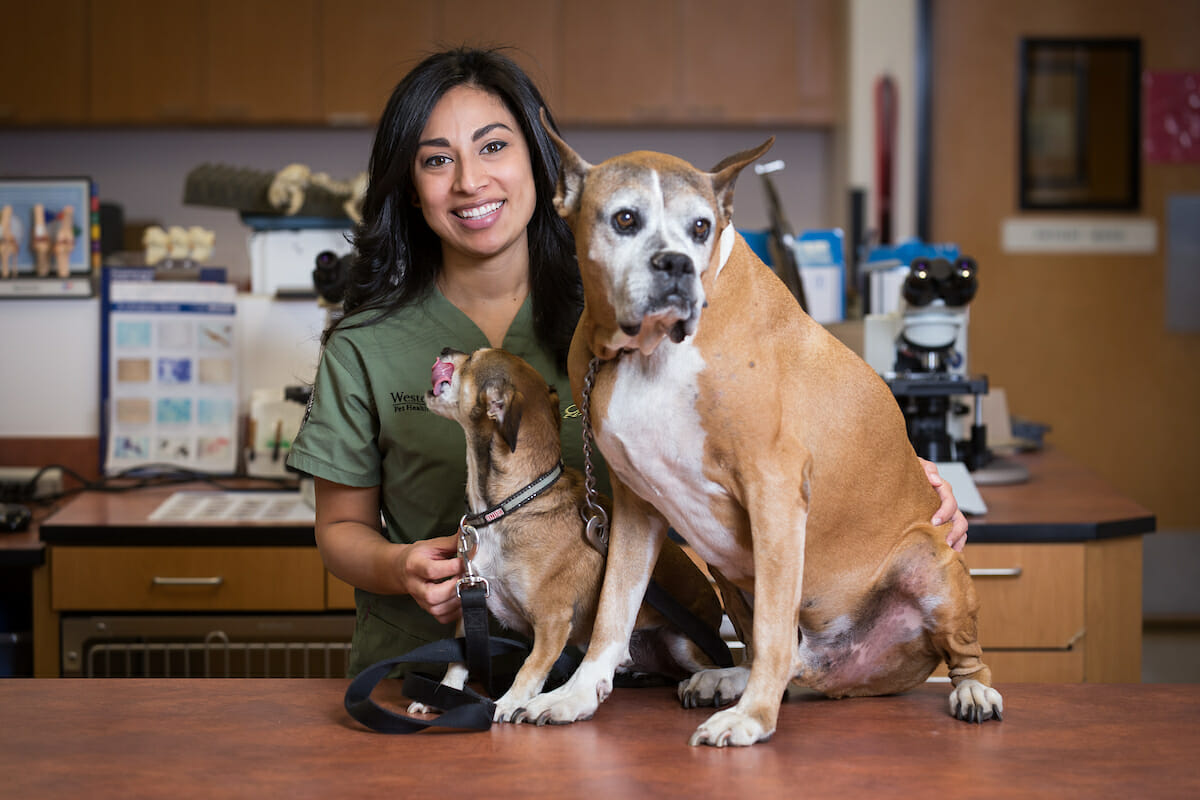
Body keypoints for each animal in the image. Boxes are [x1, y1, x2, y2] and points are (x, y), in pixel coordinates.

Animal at [511, 117, 998, 743]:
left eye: (701, 227)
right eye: (624, 219)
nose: (676, 264)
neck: (648, 353)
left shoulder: (774, 494)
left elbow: (770, 630)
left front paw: (752, 720)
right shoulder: (636, 507)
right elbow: (613, 612)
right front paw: (574, 695)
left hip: (926, 555)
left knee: (955, 653)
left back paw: (972, 690)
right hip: (726, 571)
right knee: (785, 657)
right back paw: (727, 679)